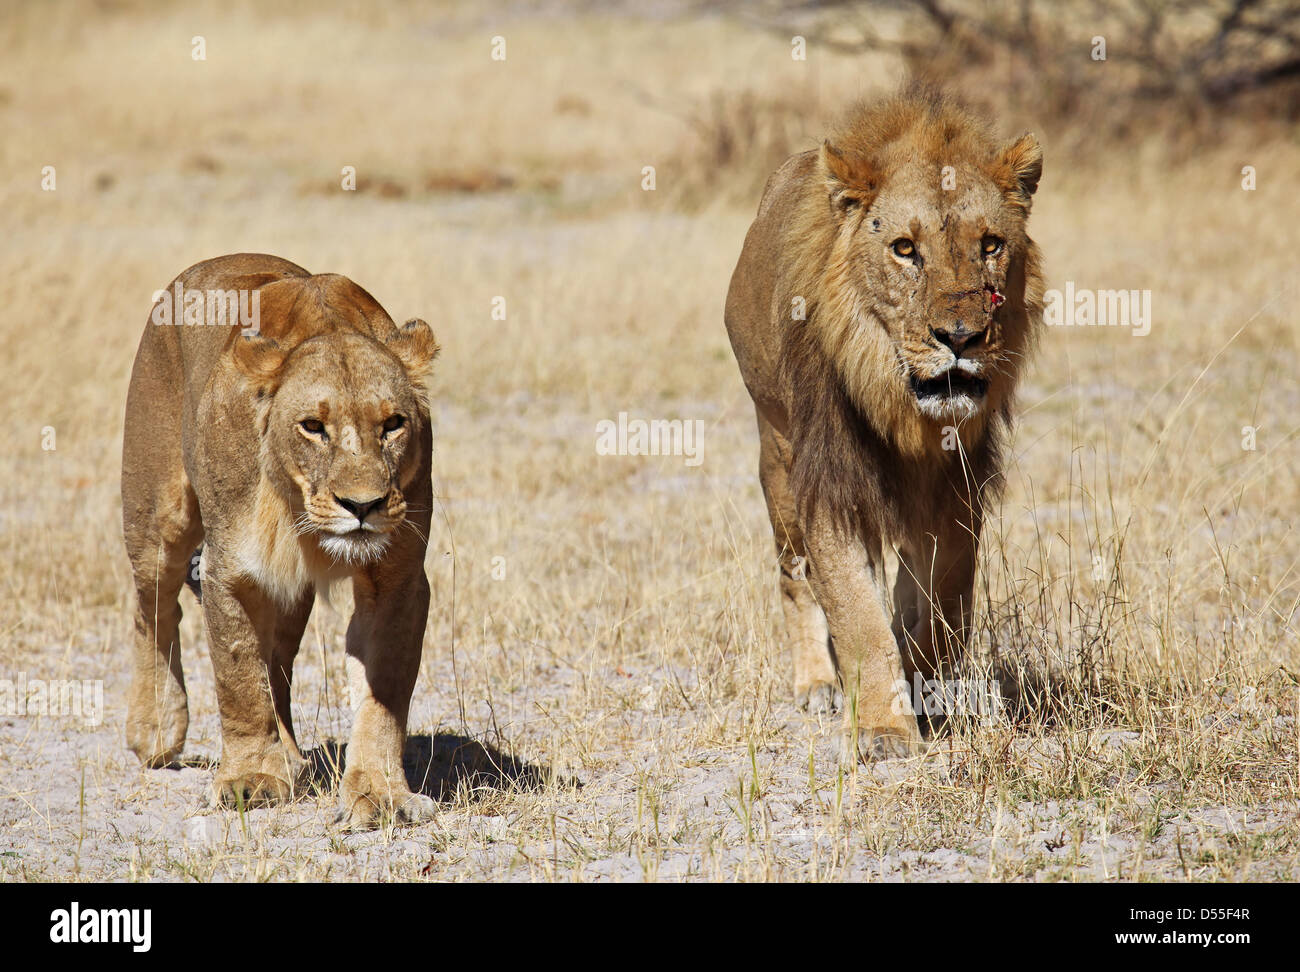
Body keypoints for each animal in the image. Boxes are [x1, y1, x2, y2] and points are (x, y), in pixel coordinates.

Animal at [122, 253, 441, 828]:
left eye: (393, 424)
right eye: (312, 425)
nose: (363, 506)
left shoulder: (398, 578)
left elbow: (384, 691)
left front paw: (379, 793)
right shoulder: (231, 570)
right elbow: (239, 680)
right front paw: (249, 780)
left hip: (289, 591)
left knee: (279, 661)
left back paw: (289, 756)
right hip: (157, 518)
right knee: (154, 607)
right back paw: (156, 729)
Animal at [724, 89, 1043, 760]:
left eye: (990, 245)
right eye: (904, 249)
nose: (960, 338)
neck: (904, 412)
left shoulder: (959, 482)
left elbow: (945, 603)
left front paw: (924, 685)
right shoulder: (831, 482)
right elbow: (854, 610)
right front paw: (886, 730)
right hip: (778, 455)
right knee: (795, 576)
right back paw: (817, 685)